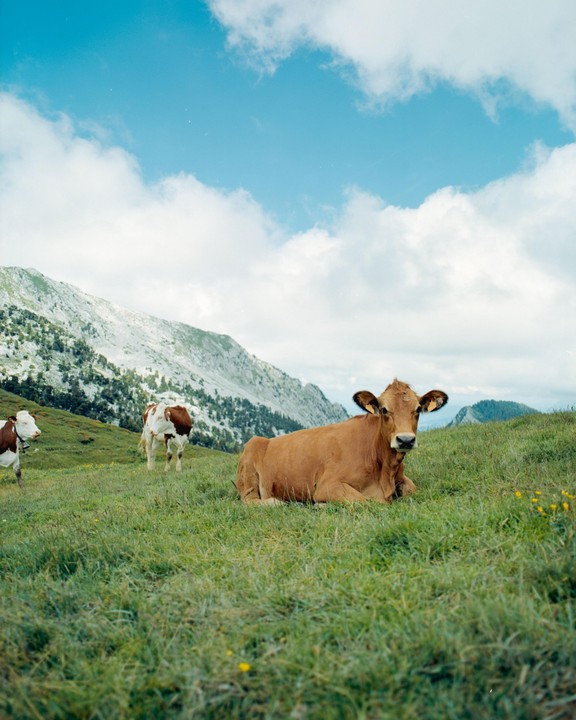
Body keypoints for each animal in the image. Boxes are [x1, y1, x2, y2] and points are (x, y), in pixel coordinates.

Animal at [236, 379, 448, 504]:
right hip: (250, 470)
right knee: (251, 501)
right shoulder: (327, 485)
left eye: (418, 409)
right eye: (384, 409)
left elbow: (412, 488)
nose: (405, 440)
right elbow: (363, 501)